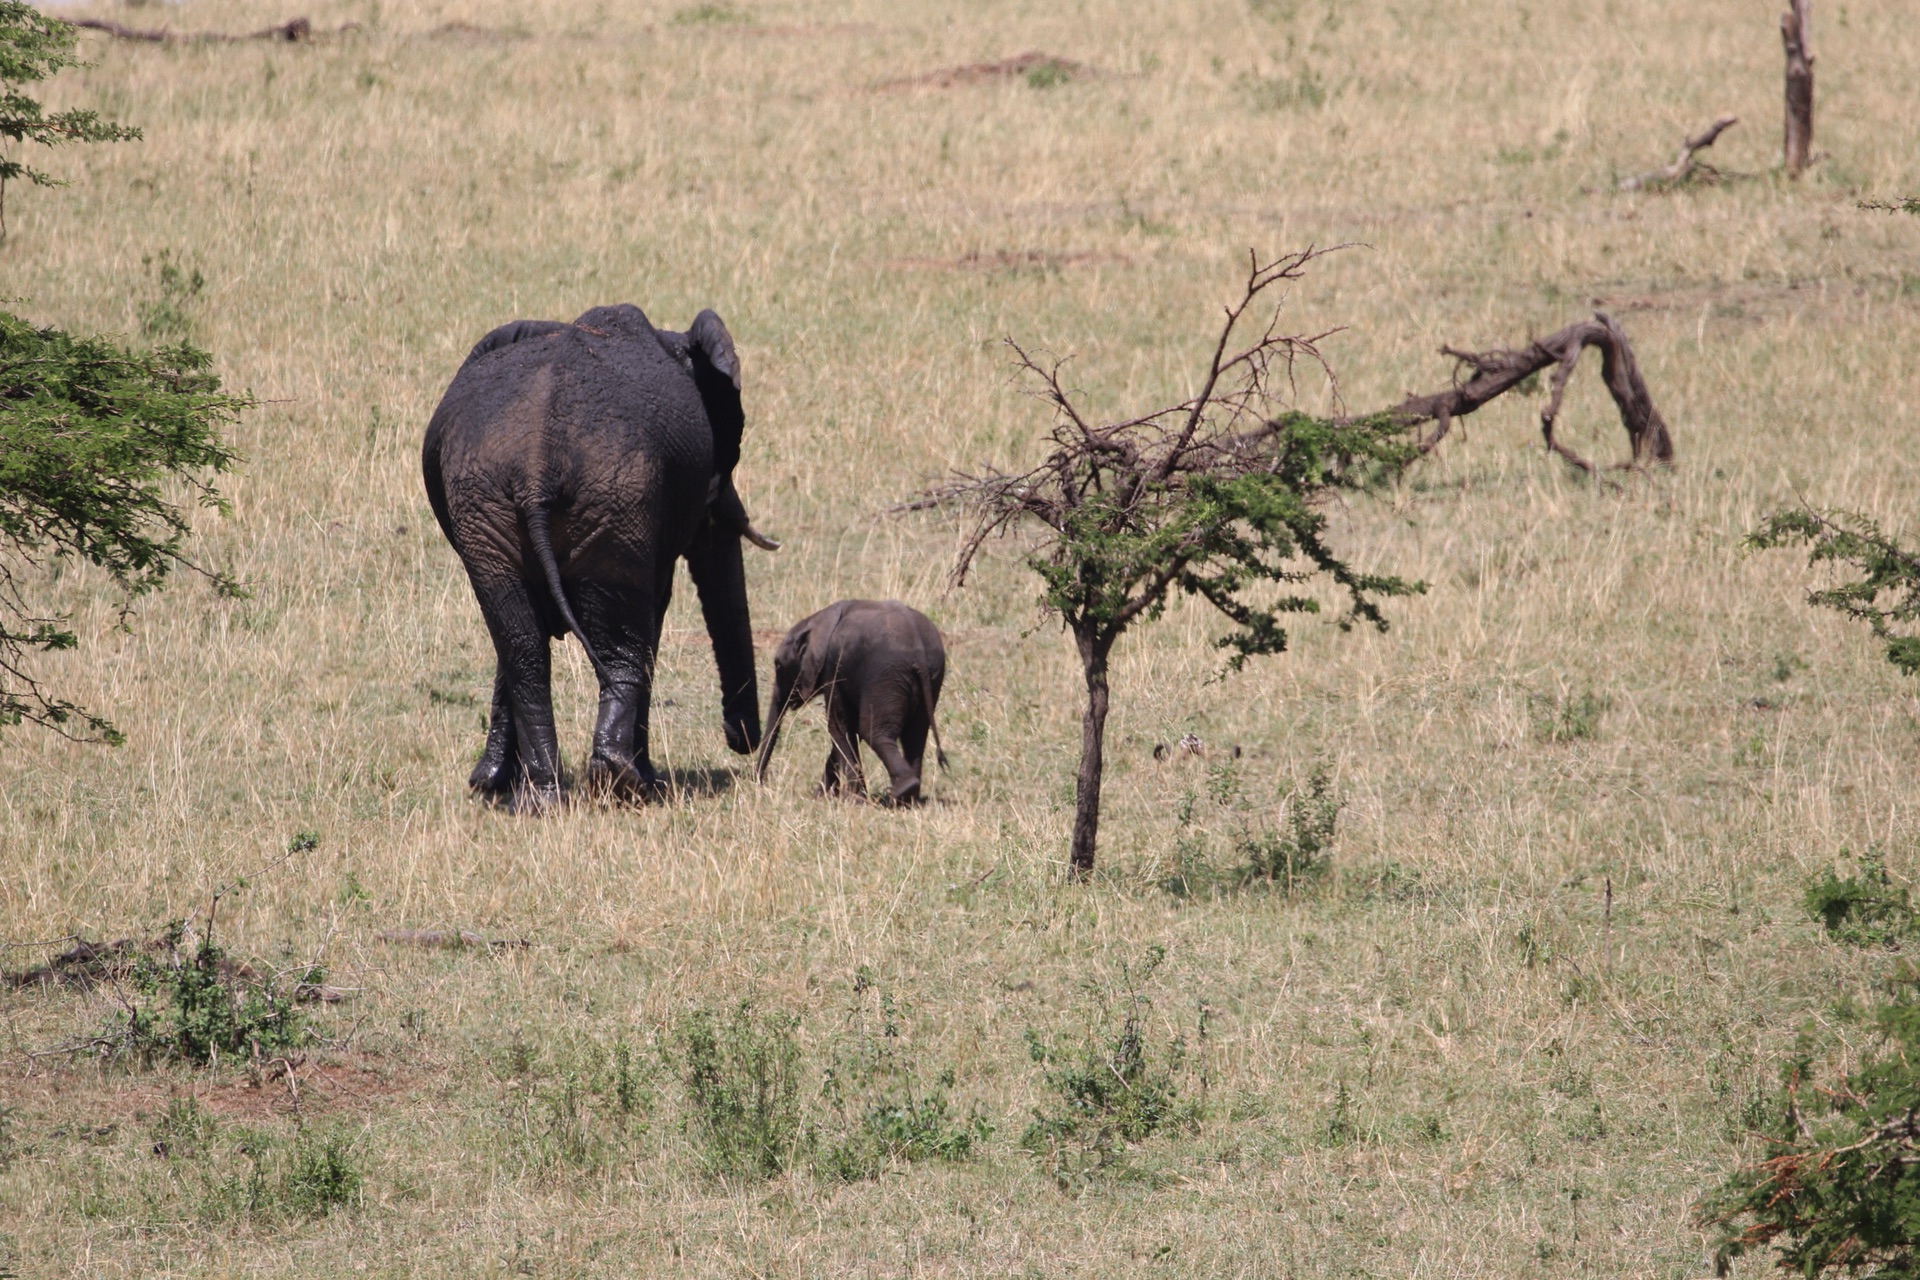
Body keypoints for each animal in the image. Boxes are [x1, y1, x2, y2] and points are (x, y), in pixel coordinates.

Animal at [424, 305, 775, 805]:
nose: (741, 741)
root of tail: (535, 466)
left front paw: (489, 782)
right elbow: (656, 607)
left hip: (485, 505)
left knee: (521, 644)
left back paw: (541, 799)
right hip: (614, 499)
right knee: (620, 640)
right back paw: (624, 780)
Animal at [756, 598, 952, 802]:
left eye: (778, 665)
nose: (760, 784)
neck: (817, 619)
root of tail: (919, 652)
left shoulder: (833, 668)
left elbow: (839, 727)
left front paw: (852, 799)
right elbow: (847, 731)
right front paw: (821, 797)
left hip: (886, 676)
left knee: (874, 731)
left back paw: (901, 792)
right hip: (932, 674)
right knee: (915, 734)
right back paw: (908, 798)